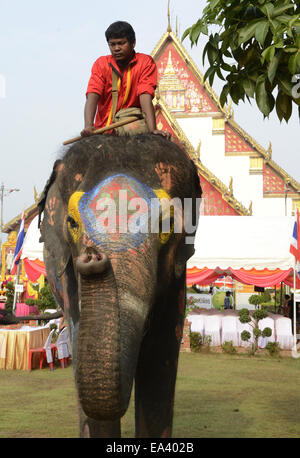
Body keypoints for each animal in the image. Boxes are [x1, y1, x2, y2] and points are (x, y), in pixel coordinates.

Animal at [38, 132, 202, 436]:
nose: (93, 256)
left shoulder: (177, 280)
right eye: (72, 223)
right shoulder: (69, 285)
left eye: (167, 224)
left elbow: (160, 364)